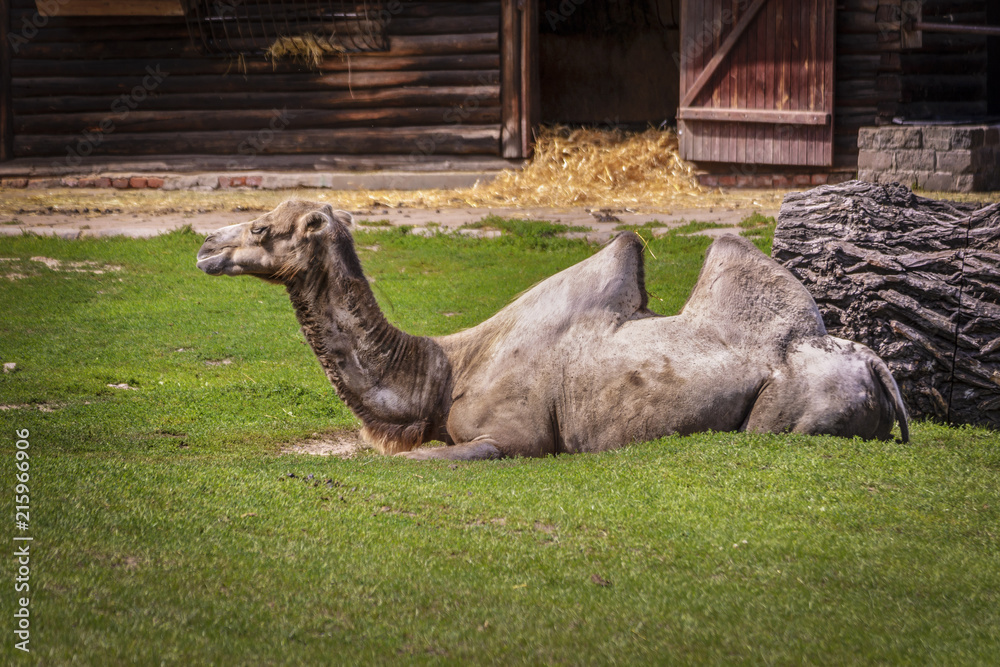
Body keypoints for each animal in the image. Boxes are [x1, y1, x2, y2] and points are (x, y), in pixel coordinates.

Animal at [196, 200, 909, 460]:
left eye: (262, 227)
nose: (204, 247)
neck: (443, 370)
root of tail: (873, 364)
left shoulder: (514, 437)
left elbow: (418, 461)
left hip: (791, 412)